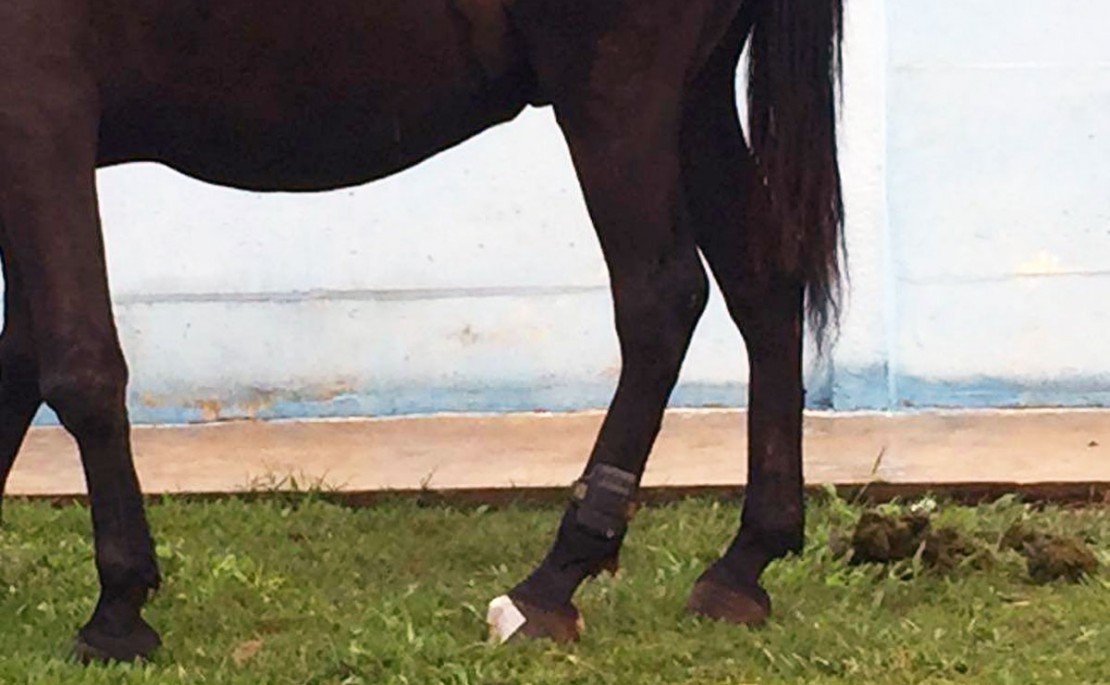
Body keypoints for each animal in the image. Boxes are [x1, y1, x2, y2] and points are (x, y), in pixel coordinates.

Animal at [0, 0, 843, 661]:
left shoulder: (41, 107)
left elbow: (77, 366)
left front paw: (118, 610)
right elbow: (21, 359)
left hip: (615, 88)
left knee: (660, 302)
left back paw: (551, 582)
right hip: (693, 91)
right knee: (763, 285)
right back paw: (742, 563)